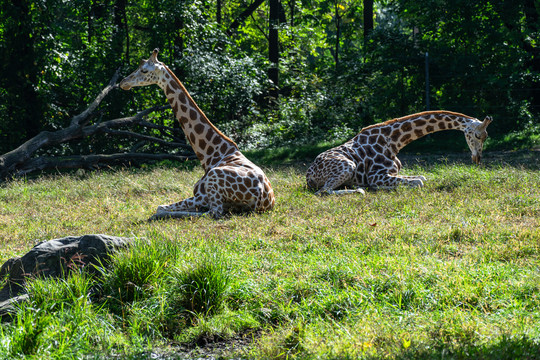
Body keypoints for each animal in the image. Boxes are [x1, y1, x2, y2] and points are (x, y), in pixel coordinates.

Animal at [121, 48, 276, 218]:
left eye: (144, 70)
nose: (123, 82)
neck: (211, 155)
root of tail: (263, 200)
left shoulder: (202, 196)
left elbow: (160, 207)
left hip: (214, 183)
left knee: (212, 213)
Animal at [306, 109, 492, 194]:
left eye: (486, 136)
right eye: (477, 135)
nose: (477, 159)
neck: (394, 142)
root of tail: (308, 176)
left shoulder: (393, 172)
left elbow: (421, 177)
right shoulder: (375, 175)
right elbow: (418, 182)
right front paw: (377, 187)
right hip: (347, 165)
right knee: (323, 191)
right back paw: (360, 190)